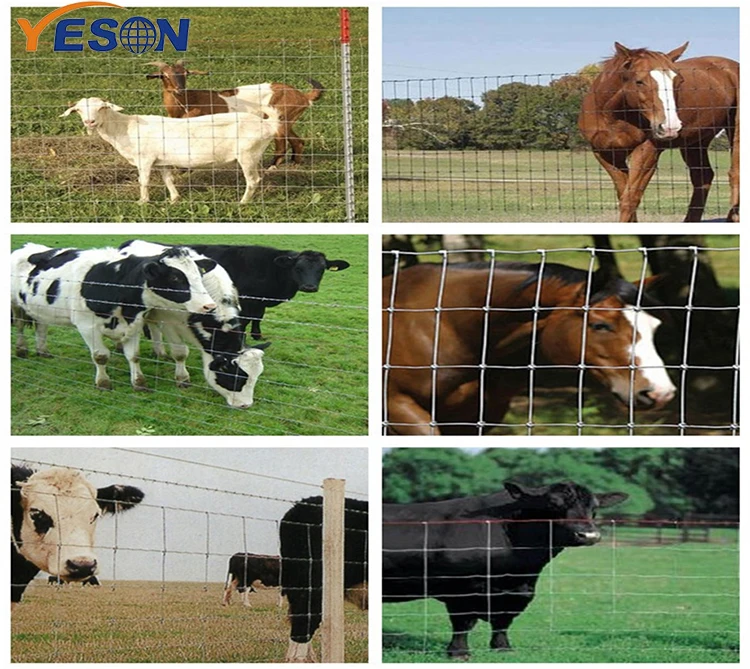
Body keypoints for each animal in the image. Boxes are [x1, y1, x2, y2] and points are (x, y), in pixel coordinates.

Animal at [578, 42, 739, 223]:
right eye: (639, 81)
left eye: (679, 81)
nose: (670, 126)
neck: (613, 116)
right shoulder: (606, 154)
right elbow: (623, 194)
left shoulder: (647, 151)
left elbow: (630, 199)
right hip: (696, 142)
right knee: (703, 177)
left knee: (735, 174)